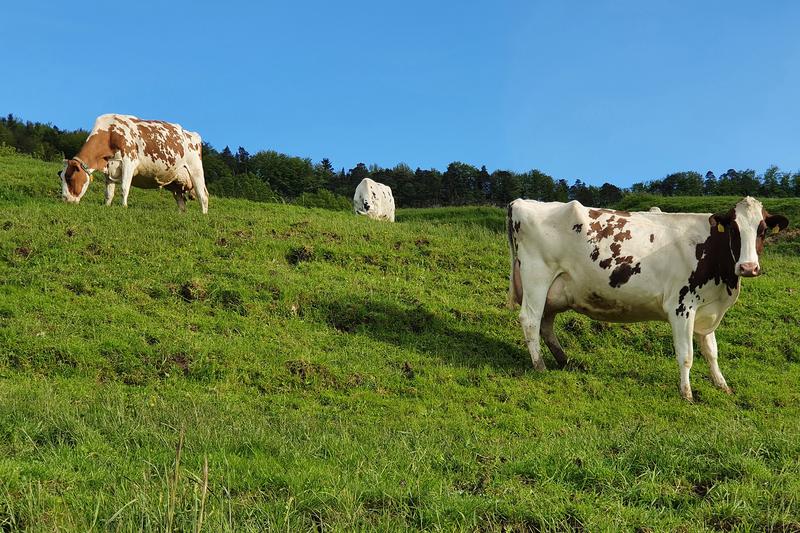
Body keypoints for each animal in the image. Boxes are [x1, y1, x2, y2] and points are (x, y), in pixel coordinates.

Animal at [59, 113, 209, 213]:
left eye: (69, 178)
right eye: (61, 177)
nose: (65, 200)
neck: (110, 133)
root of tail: (192, 134)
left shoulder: (129, 162)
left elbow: (124, 188)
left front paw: (123, 207)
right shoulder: (109, 168)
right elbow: (109, 193)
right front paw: (107, 206)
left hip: (195, 170)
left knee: (203, 195)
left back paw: (203, 215)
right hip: (176, 182)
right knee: (181, 202)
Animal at [510, 197, 792, 402]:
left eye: (762, 230)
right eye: (734, 229)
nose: (748, 267)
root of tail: (522, 202)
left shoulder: (706, 308)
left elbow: (711, 351)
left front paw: (723, 385)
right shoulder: (682, 307)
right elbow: (686, 354)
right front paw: (687, 394)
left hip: (554, 291)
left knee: (546, 324)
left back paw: (564, 360)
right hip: (537, 277)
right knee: (531, 320)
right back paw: (540, 366)